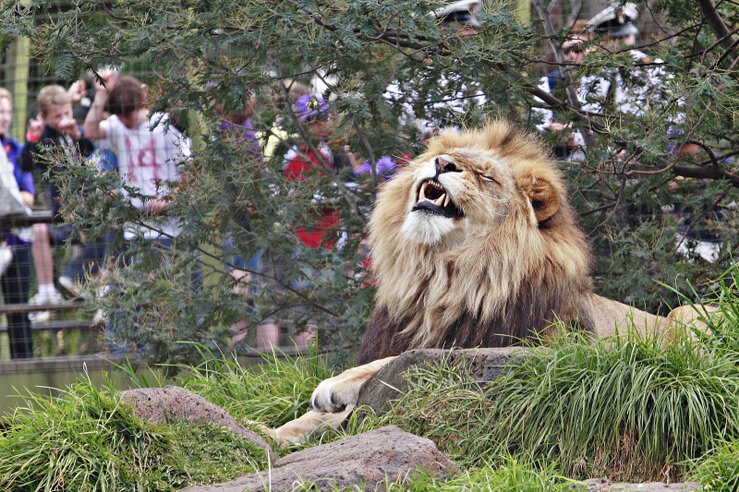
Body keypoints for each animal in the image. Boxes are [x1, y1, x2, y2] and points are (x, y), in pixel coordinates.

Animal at [267, 121, 712, 443]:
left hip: (690, 314)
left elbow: (395, 362)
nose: (441, 164)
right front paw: (271, 434)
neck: (442, 278)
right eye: (443, 156)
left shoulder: (546, 349)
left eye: (485, 176)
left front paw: (334, 385)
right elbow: (309, 421)